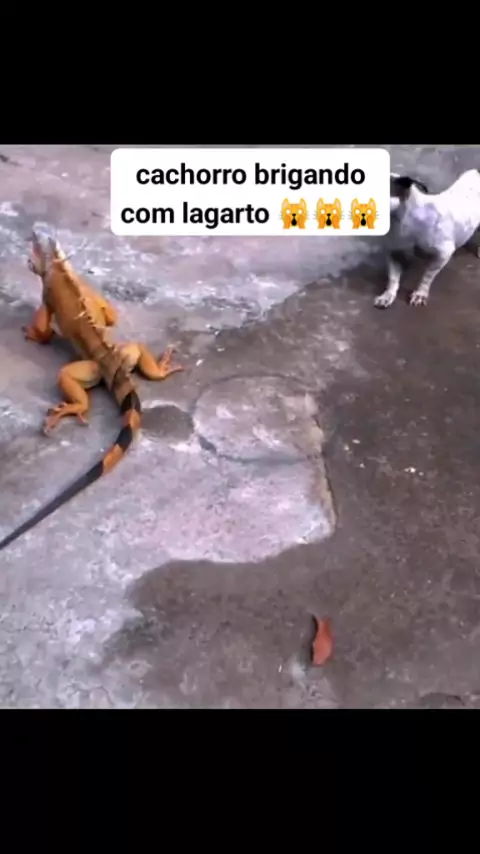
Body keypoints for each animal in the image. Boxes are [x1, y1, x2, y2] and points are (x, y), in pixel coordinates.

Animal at [375, 169, 480, 308]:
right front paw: (387, 295)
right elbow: (393, 278)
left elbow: (427, 276)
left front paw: (420, 294)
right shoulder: (394, 253)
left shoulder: (443, 254)